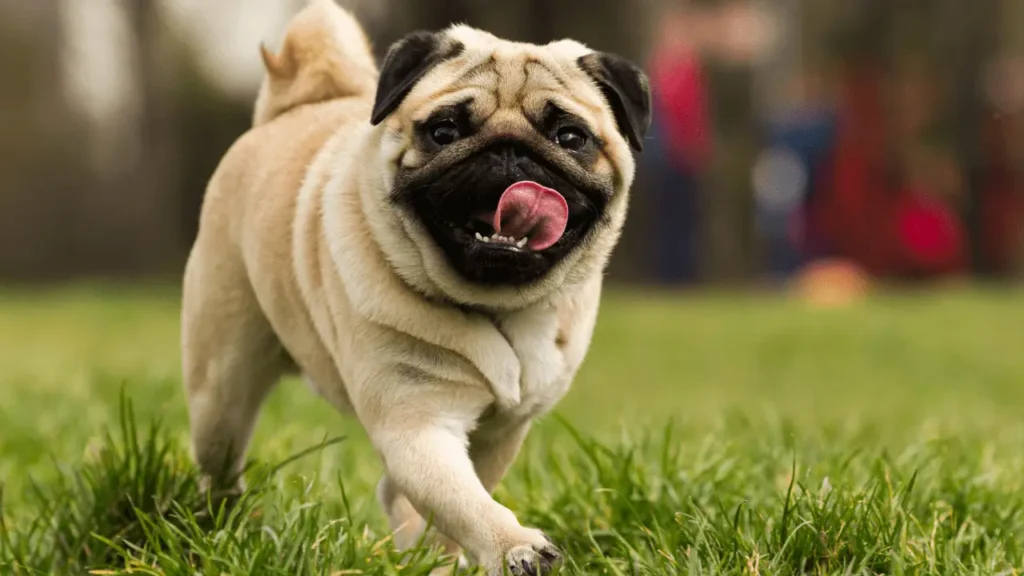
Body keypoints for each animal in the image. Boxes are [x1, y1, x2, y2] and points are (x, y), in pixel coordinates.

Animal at [182, 0, 647, 569]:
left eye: (570, 137)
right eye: (444, 131)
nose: (510, 151)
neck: (495, 303)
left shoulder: (499, 432)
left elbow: (459, 500)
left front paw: (444, 556)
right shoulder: (418, 424)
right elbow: (466, 502)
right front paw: (514, 547)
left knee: (394, 493)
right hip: (220, 389)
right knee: (220, 459)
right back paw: (220, 525)